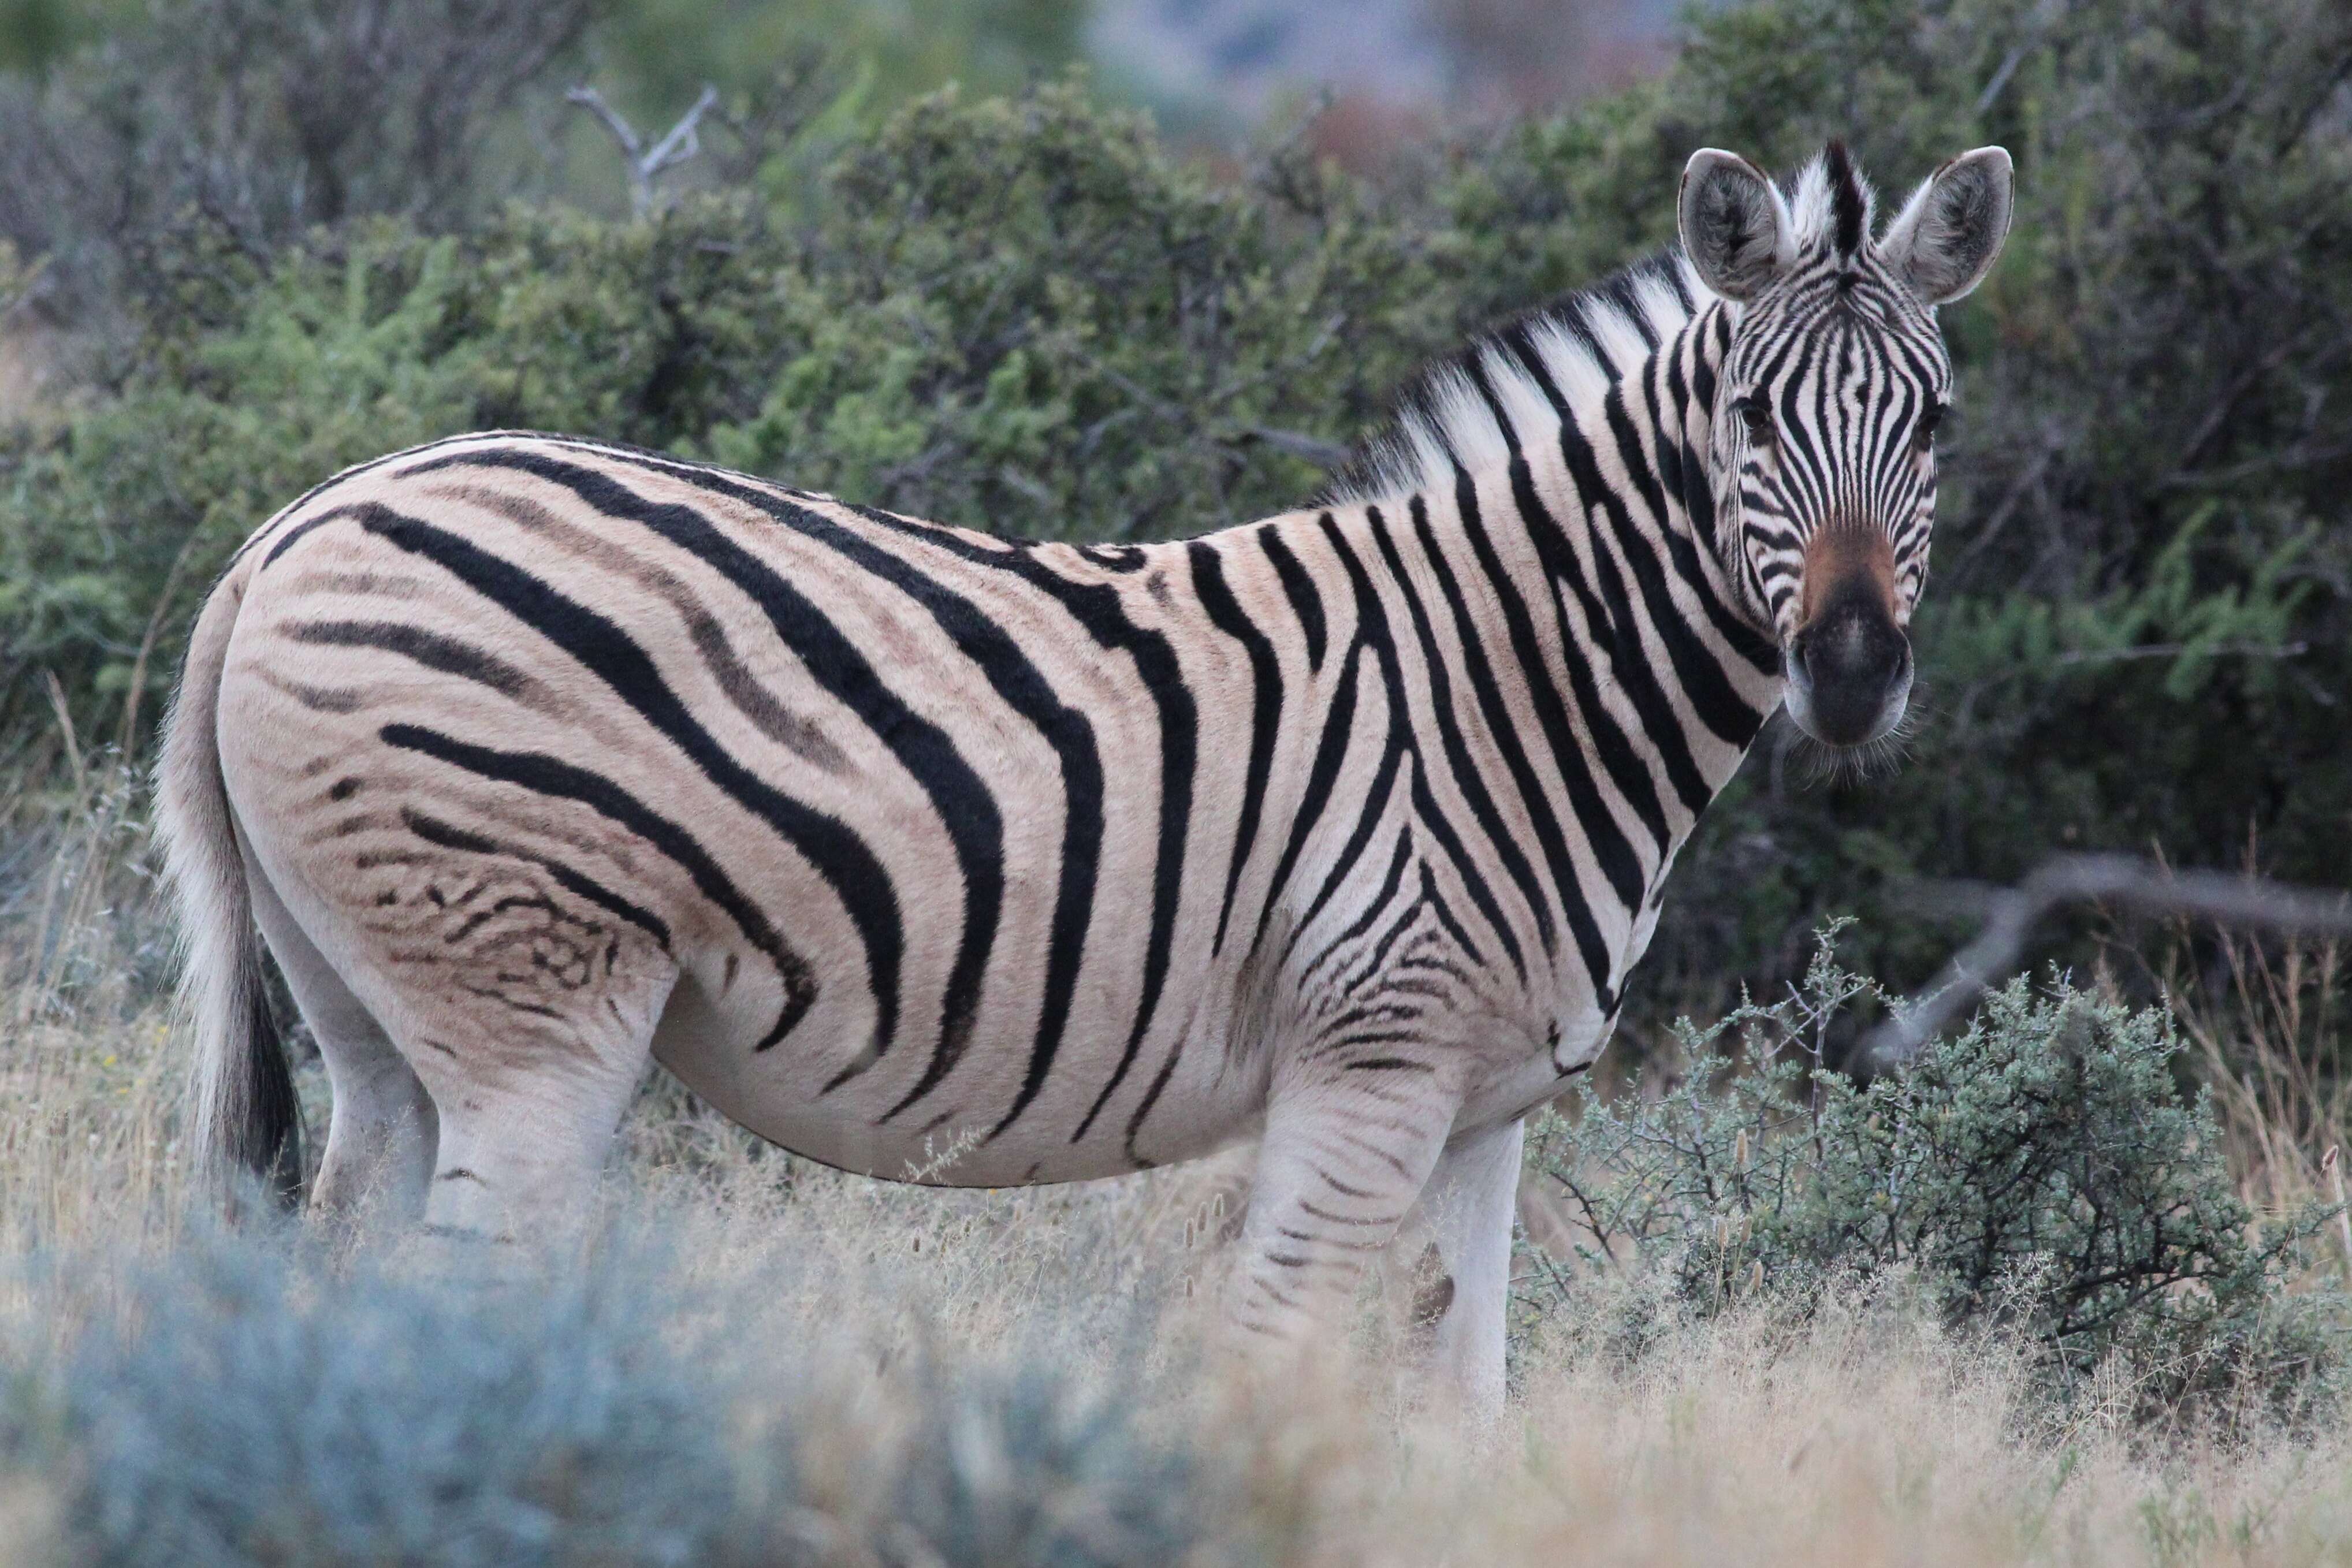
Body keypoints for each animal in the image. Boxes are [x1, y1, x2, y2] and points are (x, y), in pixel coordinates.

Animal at [156, 144, 2013, 1410]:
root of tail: (286, 531)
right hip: (535, 1007)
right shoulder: (1369, 1063)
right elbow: (1268, 1363)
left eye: (1932, 426)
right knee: (459, 1305)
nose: (1853, 673)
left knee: (339, 1275)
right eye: (1751, 420)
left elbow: (1470, 1408)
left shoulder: (1491, 1107)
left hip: (379, 1017)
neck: (1517, 682)